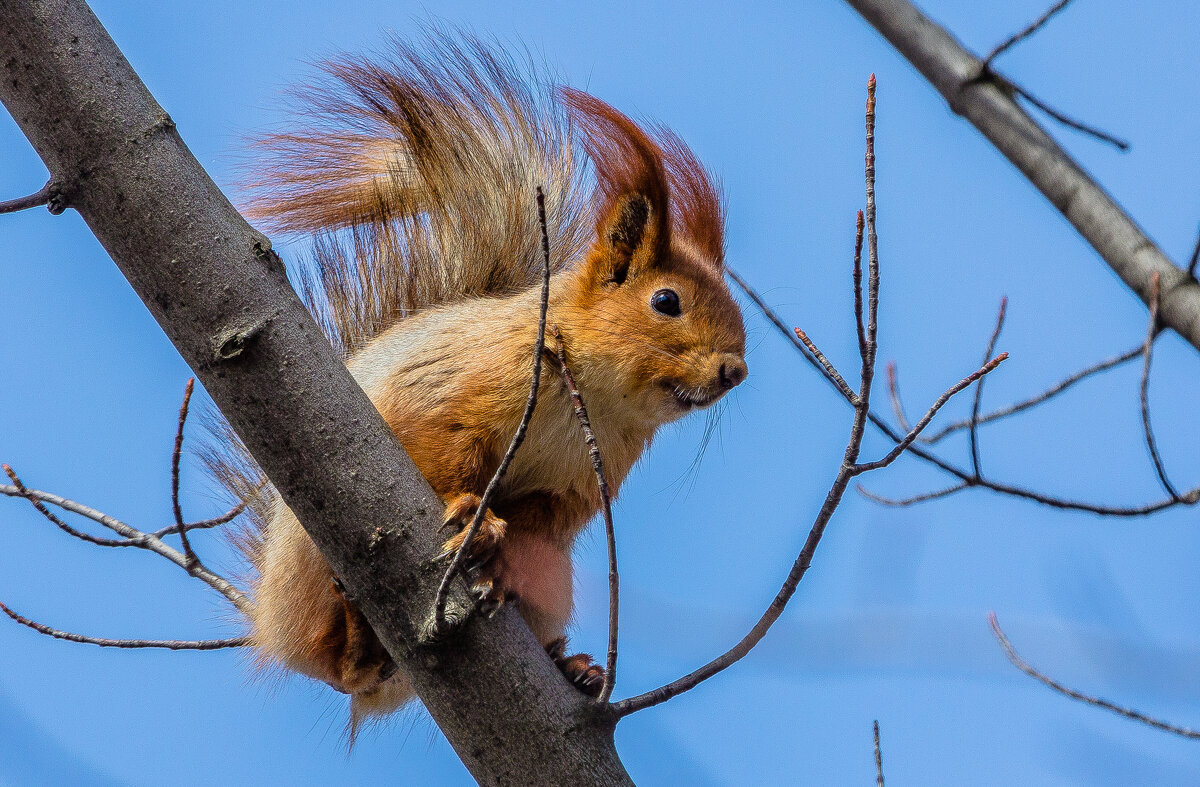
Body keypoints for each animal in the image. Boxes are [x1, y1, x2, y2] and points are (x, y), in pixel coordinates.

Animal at [211, 33, 744, 734]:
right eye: (666, 302)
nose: (735, 371)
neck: (594, 398)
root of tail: (274, 624)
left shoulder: (580, 480)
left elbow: (546, 515)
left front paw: (503, 552)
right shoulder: (459, 388)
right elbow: (439, 444)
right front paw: (470, 514)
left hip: (552, 582)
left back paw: (570, 665)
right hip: (311, 554)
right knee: (338, 658)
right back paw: (353, 633)